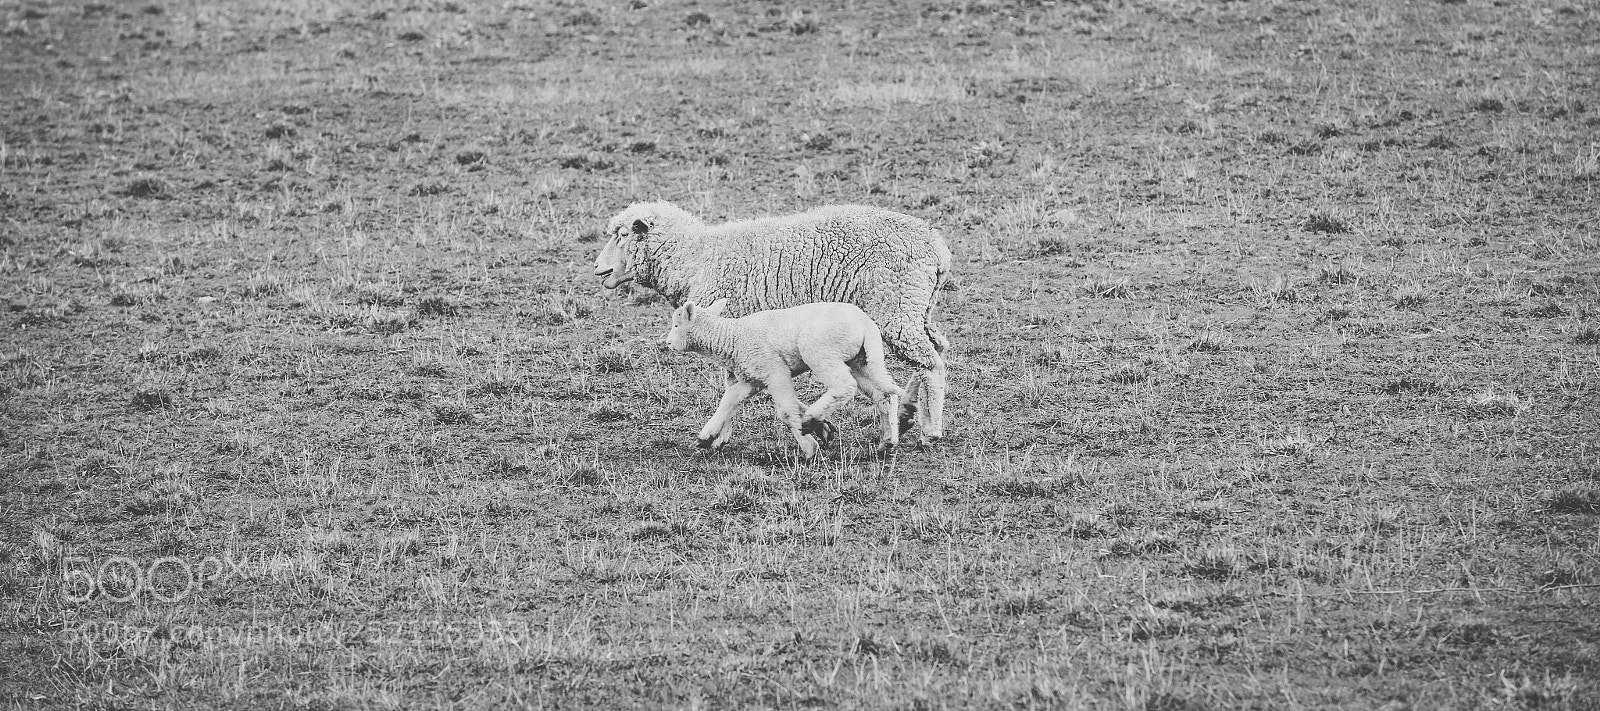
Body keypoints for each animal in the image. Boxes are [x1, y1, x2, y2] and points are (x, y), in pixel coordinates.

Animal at [594, 201, 952, 442]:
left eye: (623, 234)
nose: (598, 268)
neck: (696, 258)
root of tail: (937, 246)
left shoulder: (734, 327)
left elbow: (732, 385)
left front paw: (721, 434)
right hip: (915, 309)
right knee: (933, 353)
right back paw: (907, 414)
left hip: (898, 306)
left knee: (931, 364)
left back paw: (931, 430)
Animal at [664, 298, 906, 460]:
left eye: (676, 325)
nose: (667, 343)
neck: (734, 337)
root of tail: (866, 323)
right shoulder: (754, 378)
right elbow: (730, 399)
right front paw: (707, 437)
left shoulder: (774, 371)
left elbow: (786, 411)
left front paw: (810, 448)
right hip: (861, 359)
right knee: (883, 393)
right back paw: (888, 442)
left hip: (820, 350)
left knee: (844, 386)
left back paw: (811, 419)